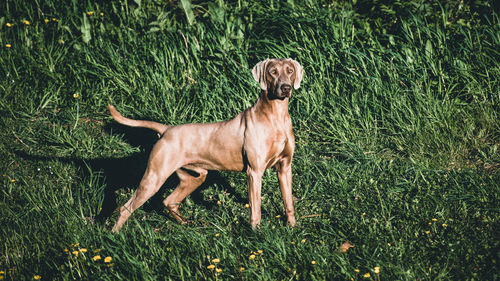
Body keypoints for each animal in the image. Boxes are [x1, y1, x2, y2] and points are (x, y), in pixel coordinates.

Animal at [109, 58, 302, 231]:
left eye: (290, 71)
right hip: (154, 177)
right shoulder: (254, 172)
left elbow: (288, 202)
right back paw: (115, 235)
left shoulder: (285, 167)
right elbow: (255, 209)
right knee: (126, 208)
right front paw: (256, 232)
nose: (286, 87)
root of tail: (167, 129)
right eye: (272, 71)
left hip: (195, 176)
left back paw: (185, 223)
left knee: (169, 201)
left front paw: (292, 227)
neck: (275, 116)